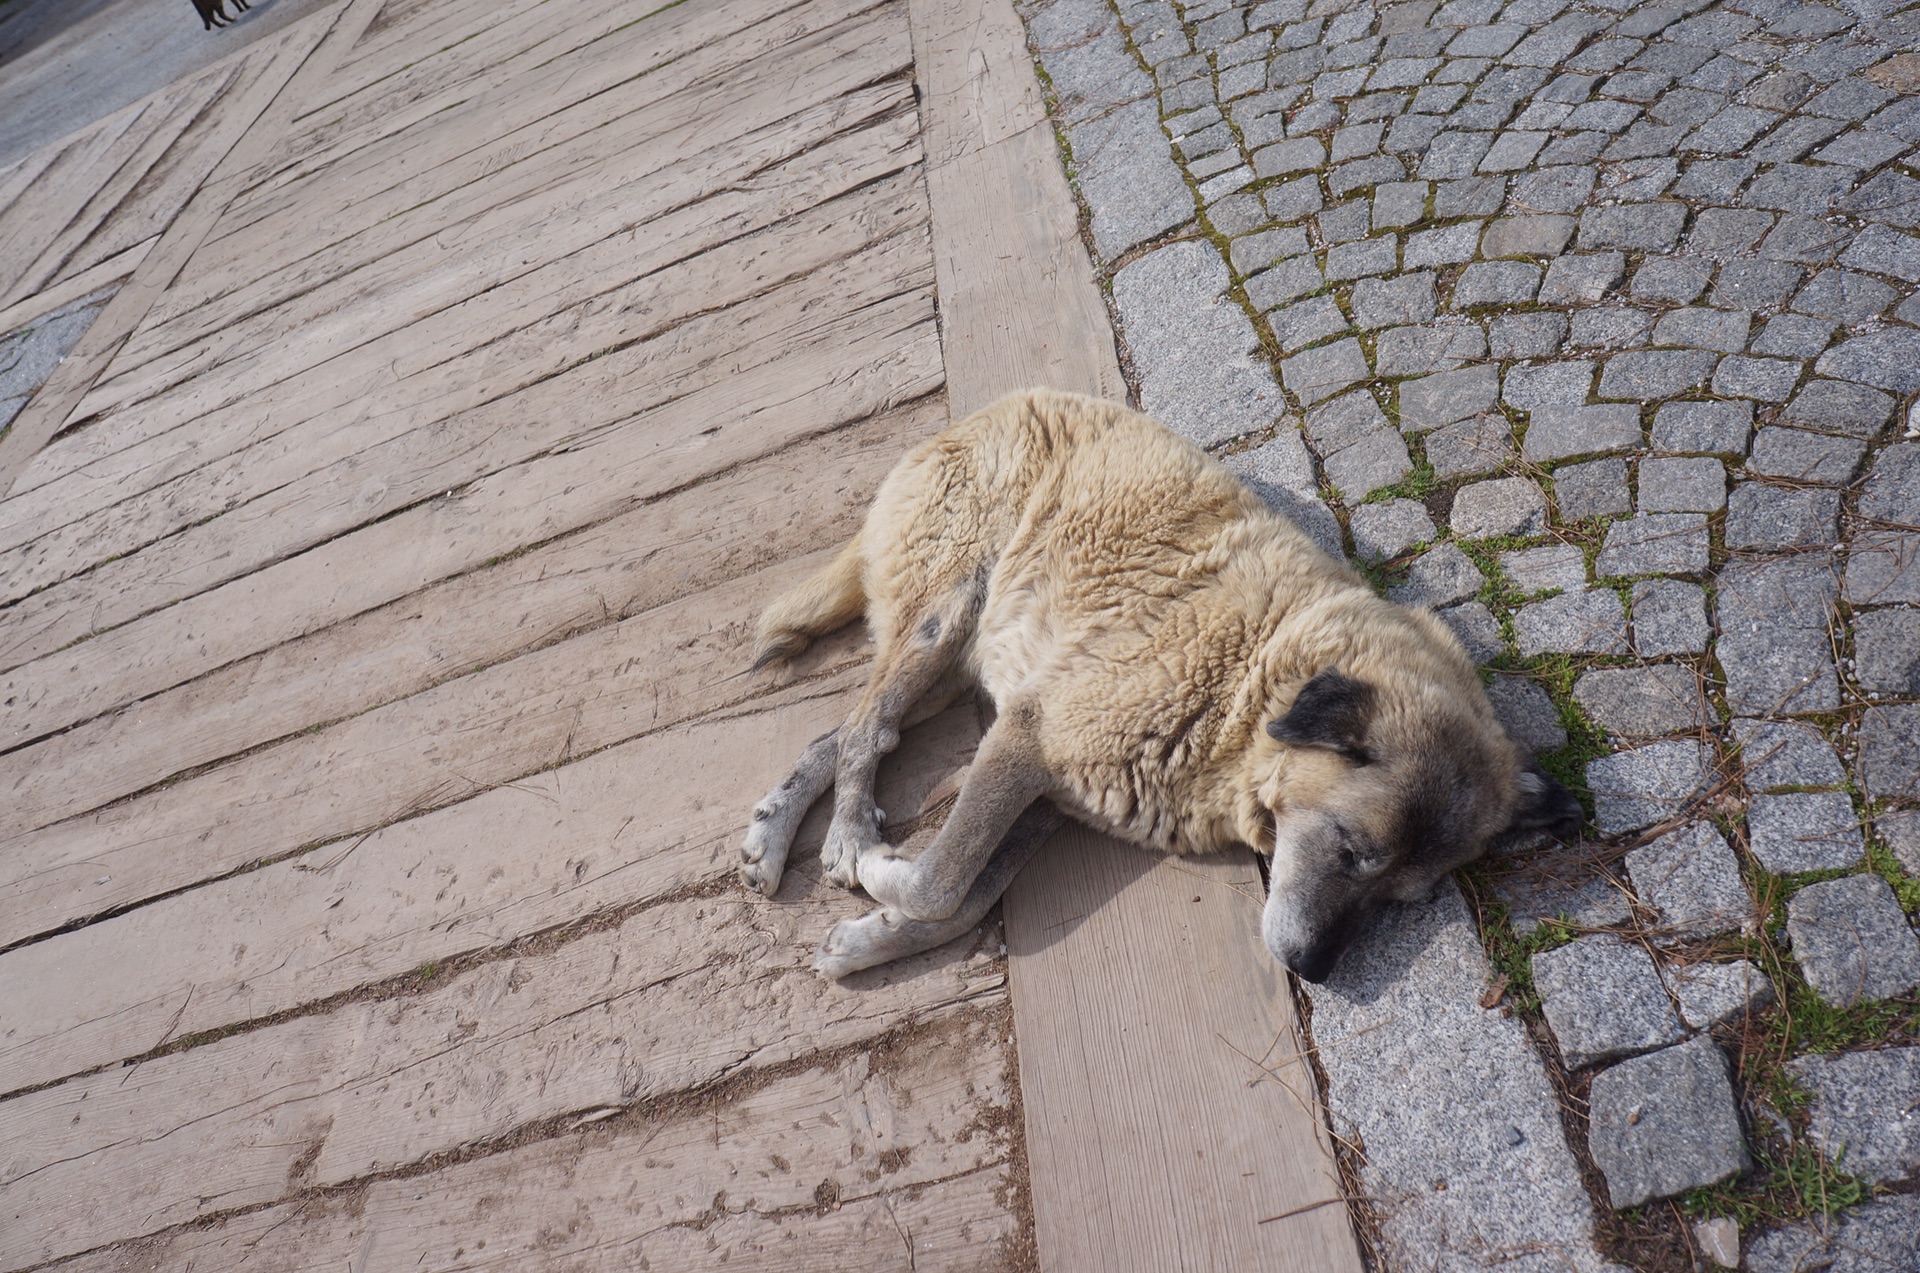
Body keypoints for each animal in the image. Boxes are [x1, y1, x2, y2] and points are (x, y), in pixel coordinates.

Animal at [733, 393, 1574, 979]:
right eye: (1350, 851)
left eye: (1400, 902)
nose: (1313, 970)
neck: (1249, 680)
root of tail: (973, 416)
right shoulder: (1024, 740)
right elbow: (940, 882)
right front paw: (882, 870)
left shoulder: (1051, 796)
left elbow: (964, 900)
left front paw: (865, 940)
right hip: (945, 616)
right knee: (867, 729)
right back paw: (847, 835)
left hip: (951, 666)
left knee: (841, 732)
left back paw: (775, 833)